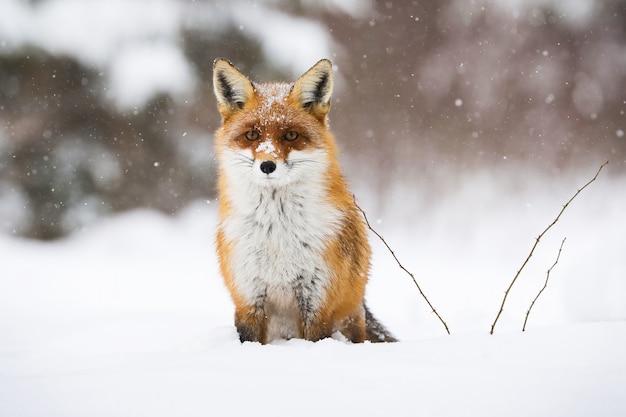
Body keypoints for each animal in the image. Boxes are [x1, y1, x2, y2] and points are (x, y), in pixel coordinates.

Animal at [212, 57, 392, 344]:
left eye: (291, 135)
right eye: (252, 135)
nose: (267, 165)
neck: (276, 234)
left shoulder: (317, 301)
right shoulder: (248, 298)